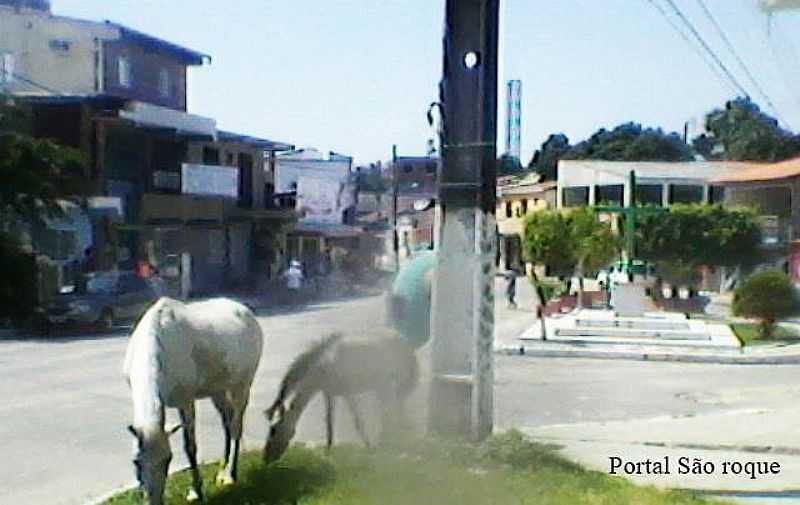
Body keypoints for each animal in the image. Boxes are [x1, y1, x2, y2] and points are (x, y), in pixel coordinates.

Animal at [123, 298, 264, 504]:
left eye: (168, 459)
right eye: (136, 461)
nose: (153, 501)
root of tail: (246, 312)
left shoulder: (186, 401)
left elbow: (190, 447)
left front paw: (196, 491)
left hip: (242, 385)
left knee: (236, 426)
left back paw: (230, 475)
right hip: (217, 390)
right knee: (227, 423)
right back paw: (221, 472)